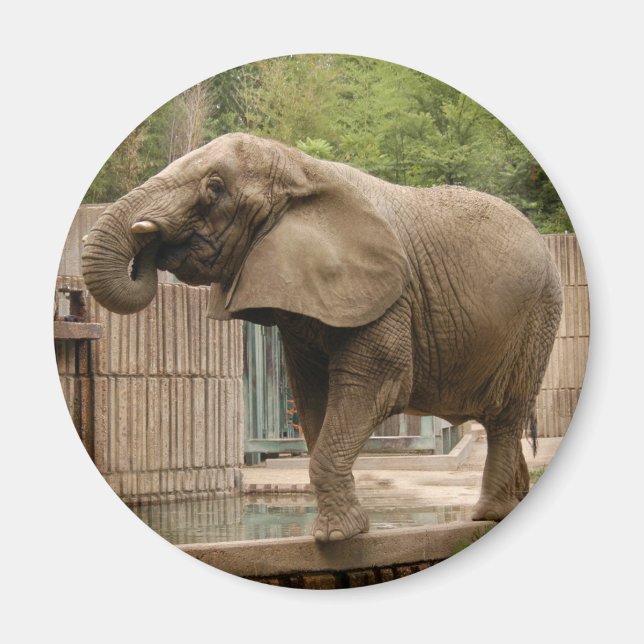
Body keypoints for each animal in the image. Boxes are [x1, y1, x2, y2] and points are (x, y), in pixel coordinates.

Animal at [81, 132, 563, 542]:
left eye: (214, 188)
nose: (150, 245)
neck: (299, 167)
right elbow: (312, 390)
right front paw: (344, 531)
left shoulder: (390, 296)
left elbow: (378, 381)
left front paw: (336, 537)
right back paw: (509, 506)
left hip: (539, 316)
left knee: (506, 417)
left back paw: (486, 514)